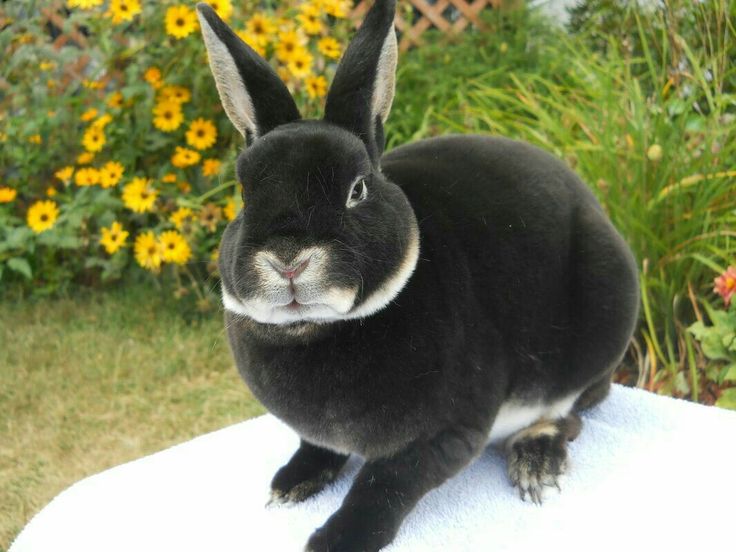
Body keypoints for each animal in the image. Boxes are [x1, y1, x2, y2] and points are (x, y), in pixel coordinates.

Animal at [196, 2, 640, 548]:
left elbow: (385, 483)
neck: (315, 328)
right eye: (244, 194)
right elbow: (318, 447)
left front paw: (337, 539)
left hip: (602, 326)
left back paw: (535, 465)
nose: (287, 258)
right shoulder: (319, 434)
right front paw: (291, 484)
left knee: (569, 412)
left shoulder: (444, 433)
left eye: (358, 190)